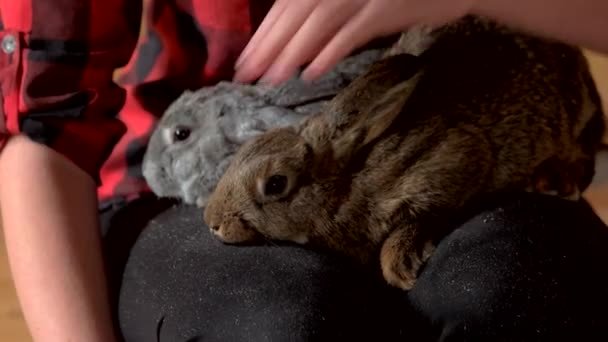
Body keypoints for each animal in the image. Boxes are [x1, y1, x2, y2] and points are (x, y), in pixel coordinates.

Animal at [203, 15, 604, 288]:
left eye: (275, 184)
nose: (212, 222)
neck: (347, 180)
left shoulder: (454, 159)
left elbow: (420, 217)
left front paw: (401, 267)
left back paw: (557, 180)